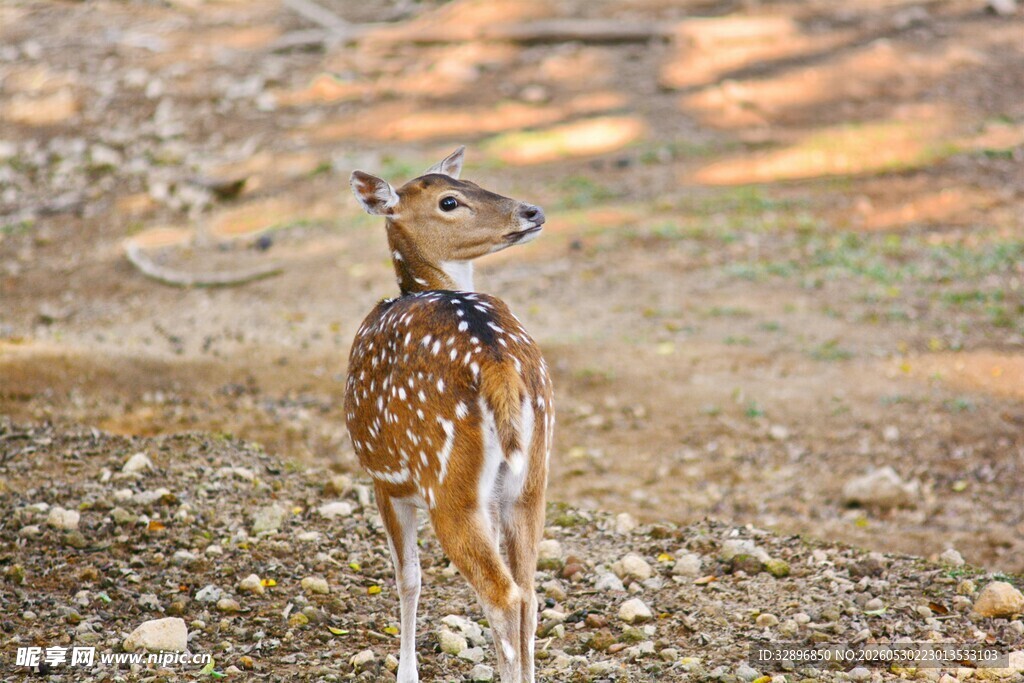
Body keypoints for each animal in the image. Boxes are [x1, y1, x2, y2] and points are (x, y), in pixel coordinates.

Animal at [345, 147, 554, 683]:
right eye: (451, 200)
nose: (533, 212)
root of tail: (500, 366)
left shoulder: (384, 480)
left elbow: (409, 578)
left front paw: (406, 674)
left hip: (448, 486)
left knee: (503, 595)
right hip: (530, 481)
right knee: (529, 593)